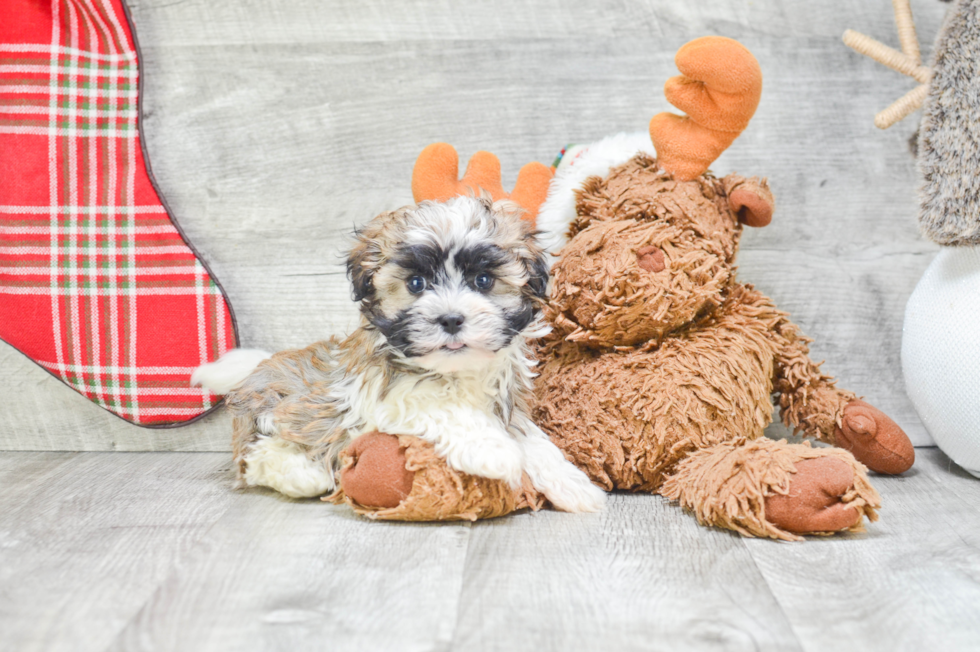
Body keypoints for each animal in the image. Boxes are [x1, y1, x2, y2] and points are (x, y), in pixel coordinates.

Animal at [191, 196, 604, 512]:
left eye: (483, 280)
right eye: (416, 283)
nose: (451, 318)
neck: (454, 371)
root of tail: (260, 368)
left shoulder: (505, 405)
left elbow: (532, 439)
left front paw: (573, 485)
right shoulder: (381, 398)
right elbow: (441, 405)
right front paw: (494, 451)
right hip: (275, 414)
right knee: (258, 457)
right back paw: (303, 473)